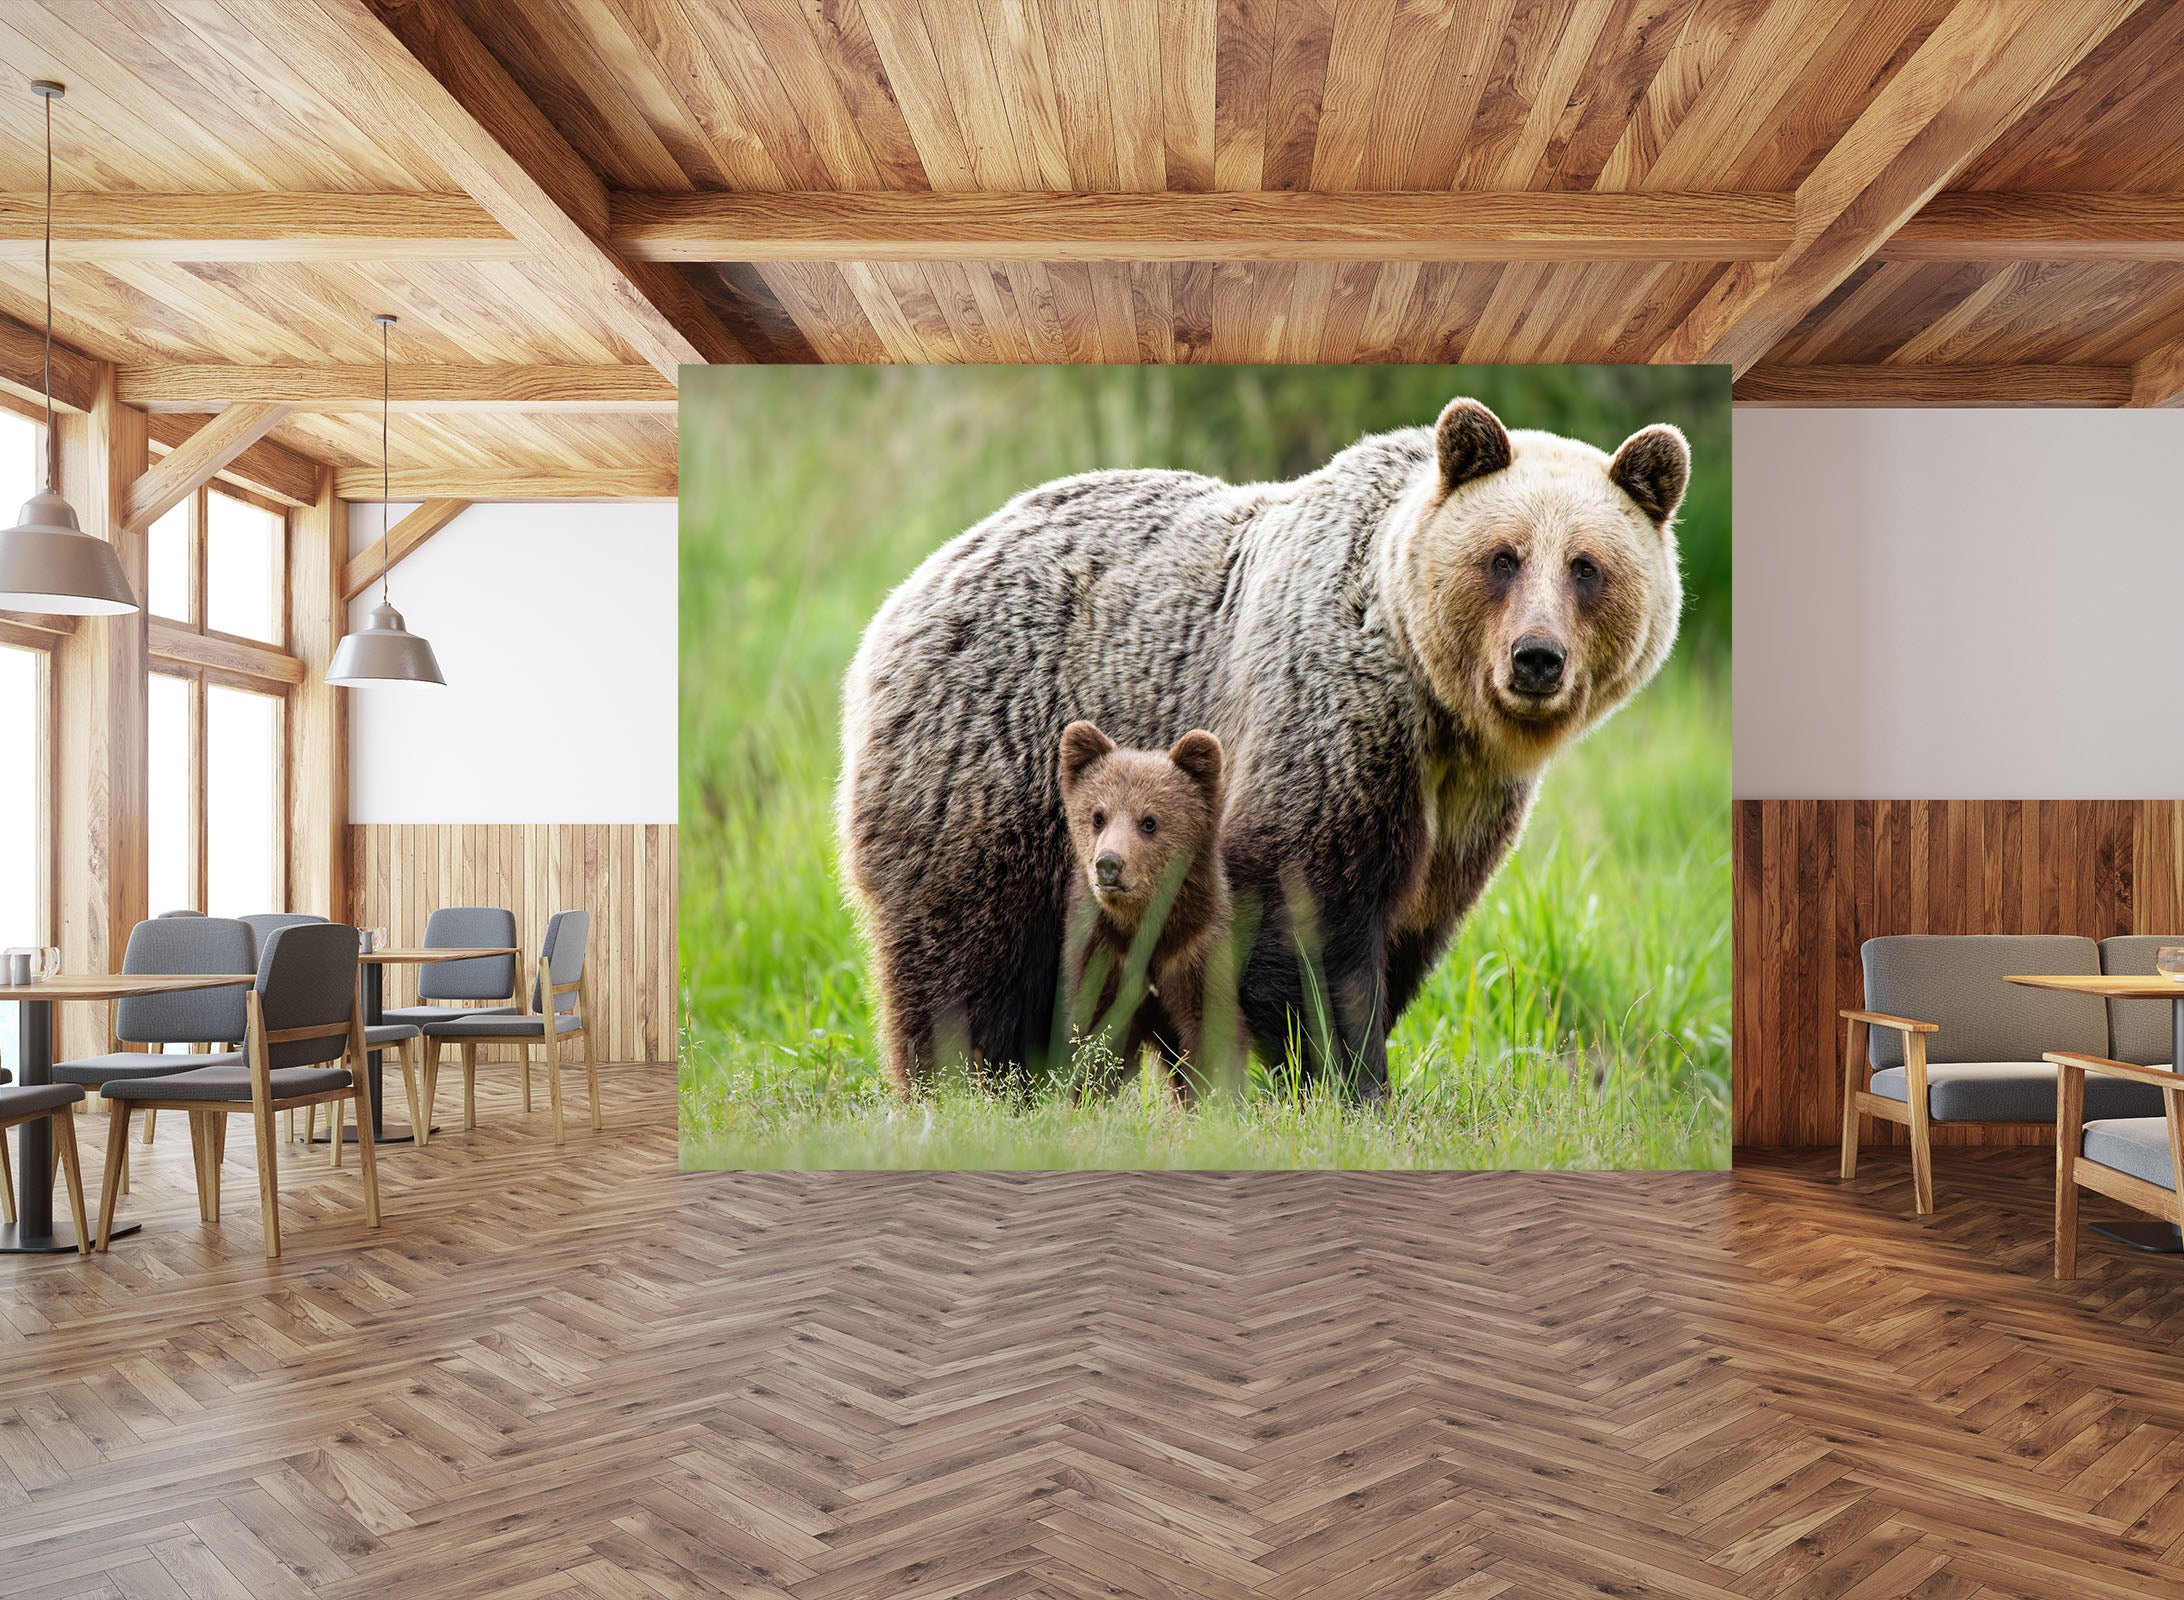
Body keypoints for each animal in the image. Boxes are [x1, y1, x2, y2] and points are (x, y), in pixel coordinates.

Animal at [1055, 720, 1241, 1103]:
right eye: (1098, 816)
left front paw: (1212, 1099)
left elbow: (1209, 1035)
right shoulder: (1105, 956)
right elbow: (1096, 1039)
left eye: (1150, 821)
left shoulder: (1195, 953)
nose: (1109, 864)